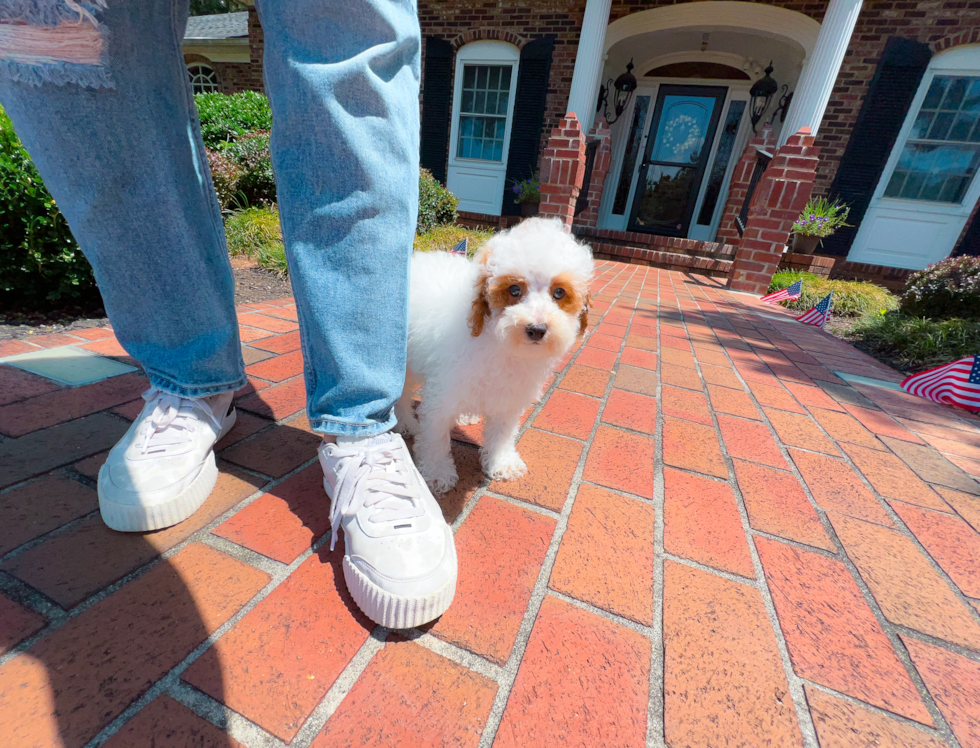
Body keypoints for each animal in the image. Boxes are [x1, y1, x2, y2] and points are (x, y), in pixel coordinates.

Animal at [394, 219, 592, 494]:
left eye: (560, 293)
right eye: (514, 289)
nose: (537, 329)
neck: (499, 342)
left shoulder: (509, 397)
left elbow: (502, 432)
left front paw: (501, 462)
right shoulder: (443, 394)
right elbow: (435, 436)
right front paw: (437, 473)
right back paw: (405, 422)